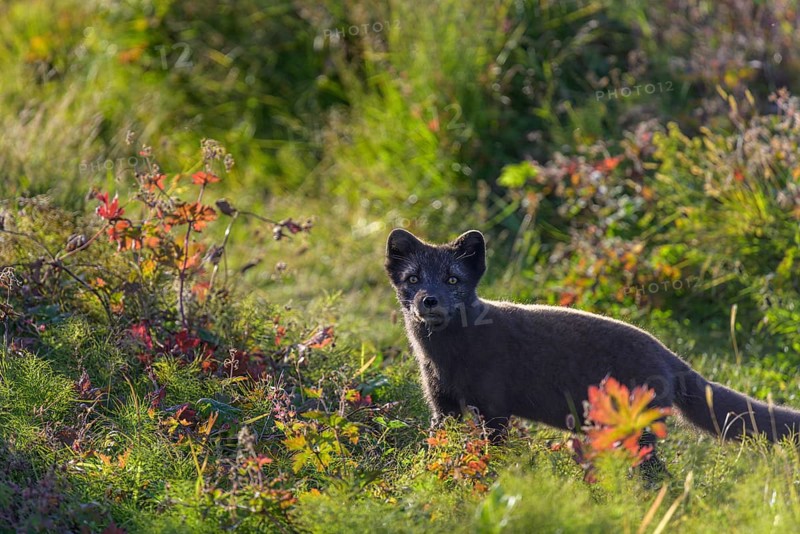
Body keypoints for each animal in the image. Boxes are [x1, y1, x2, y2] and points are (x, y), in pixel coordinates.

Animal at [385, 228, 800, 446]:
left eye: (453, 279)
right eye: (413, 279)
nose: (429, 300)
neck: (444, 359)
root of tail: (670, 356)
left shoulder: (494, 407)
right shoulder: (441, 405)